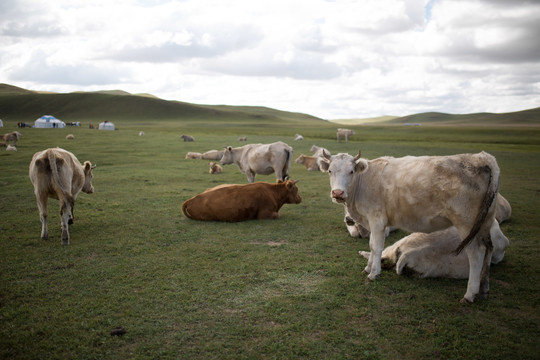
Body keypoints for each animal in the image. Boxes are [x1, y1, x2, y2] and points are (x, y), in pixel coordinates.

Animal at [320, 150, 502, 304]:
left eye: (351, 171)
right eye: (330, 171)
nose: (337, 193)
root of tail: (482, 157)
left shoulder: (377, 219)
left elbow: (376, 247)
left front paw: (373, 273)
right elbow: (371, 245)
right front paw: (367, 268)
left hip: (467, 225)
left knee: (476, 254)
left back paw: (469, 294)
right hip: (485, 222)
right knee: (489, 248)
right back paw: (483, 289)